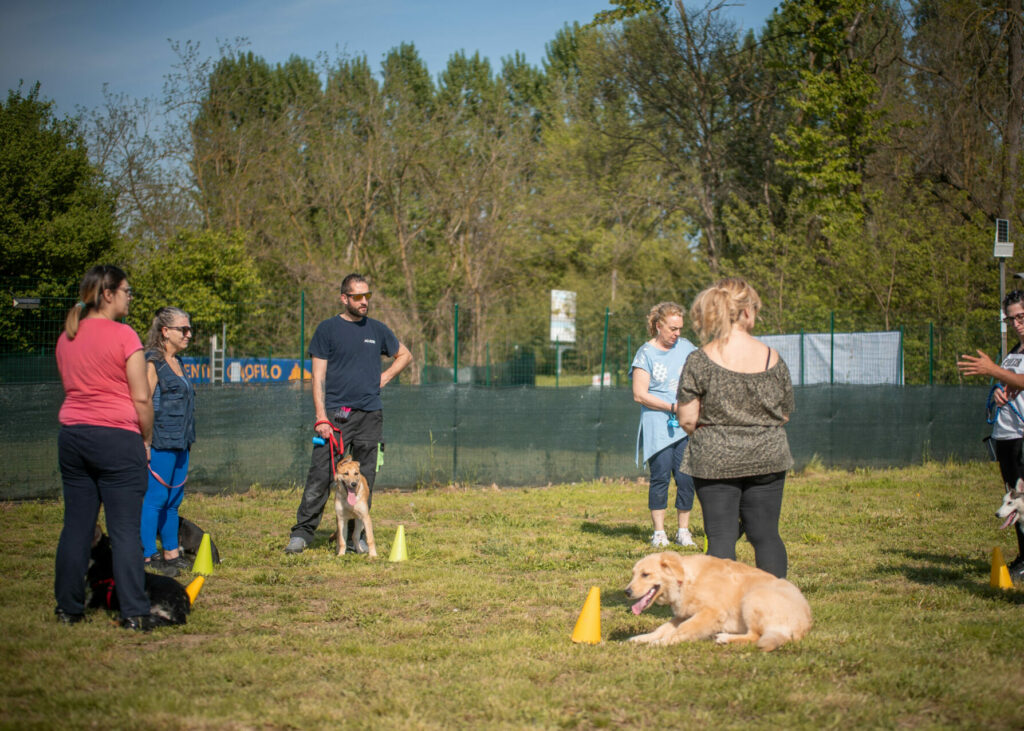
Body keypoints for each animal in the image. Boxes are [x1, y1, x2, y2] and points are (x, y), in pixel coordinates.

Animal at [622, 548, 806, 647]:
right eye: (633, 574)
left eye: (645, 574)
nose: (627, 592)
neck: (686, 580)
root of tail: (804, 626)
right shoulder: (683, 614)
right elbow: (662, 629)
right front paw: (639, 639)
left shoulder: (711, 613)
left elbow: (684, 629)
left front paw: (660, 643)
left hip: (753, 598)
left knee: (755, 636)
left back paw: (725, 638)